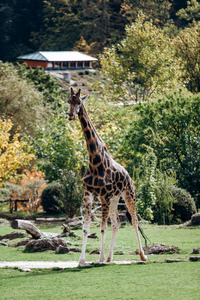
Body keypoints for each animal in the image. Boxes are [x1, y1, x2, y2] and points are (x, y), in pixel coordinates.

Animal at [68, 88, 148, 266]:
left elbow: (102, 228)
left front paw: (100, 258)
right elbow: (86, 228)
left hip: (129, 194)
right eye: (68, 100)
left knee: (134, 221)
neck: (94, 160)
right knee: (117, 222)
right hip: (114, 199)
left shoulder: (103, 196)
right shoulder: (89, 194)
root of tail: (128, 175)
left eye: (79, 102)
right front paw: (82, 260)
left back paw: (142, 256)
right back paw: (111, 258)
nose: (70, 115)